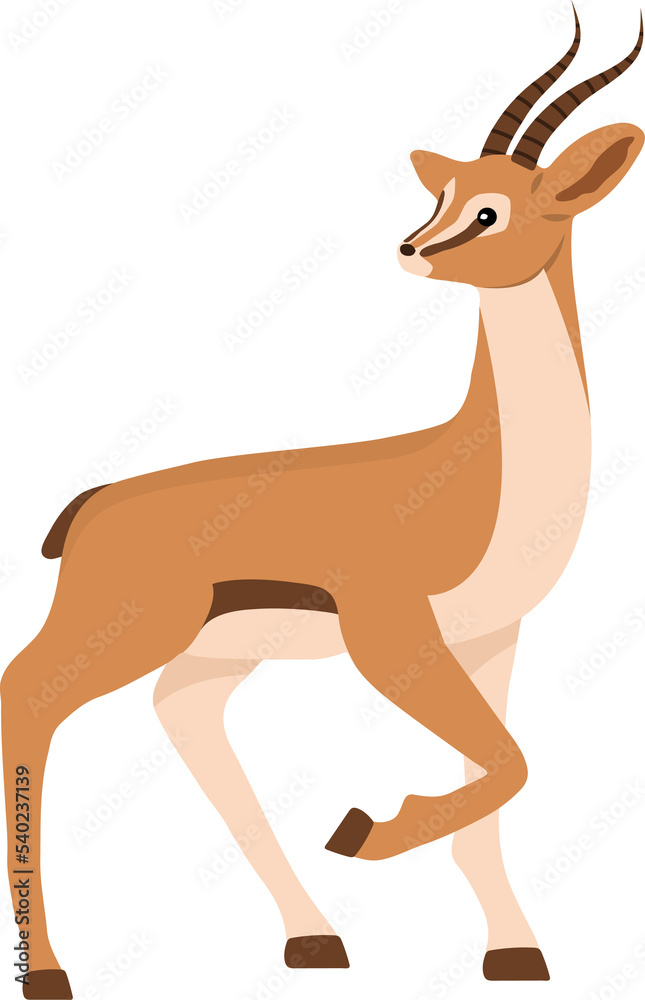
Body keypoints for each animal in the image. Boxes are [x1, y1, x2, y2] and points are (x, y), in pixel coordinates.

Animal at [2, 9, 643, 997]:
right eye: (446, 193)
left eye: (491, 208)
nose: (410, 249)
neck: (482, 473)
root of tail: (92, 502)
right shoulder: (391, 629)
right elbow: (510, 764)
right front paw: (360, 830)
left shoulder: (493, 637)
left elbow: (500, 777)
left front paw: (513, 953)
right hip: (124, 623)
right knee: (25, 699)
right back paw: (49, 970)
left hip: (213, 650)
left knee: (181, 714)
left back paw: (313, 939)